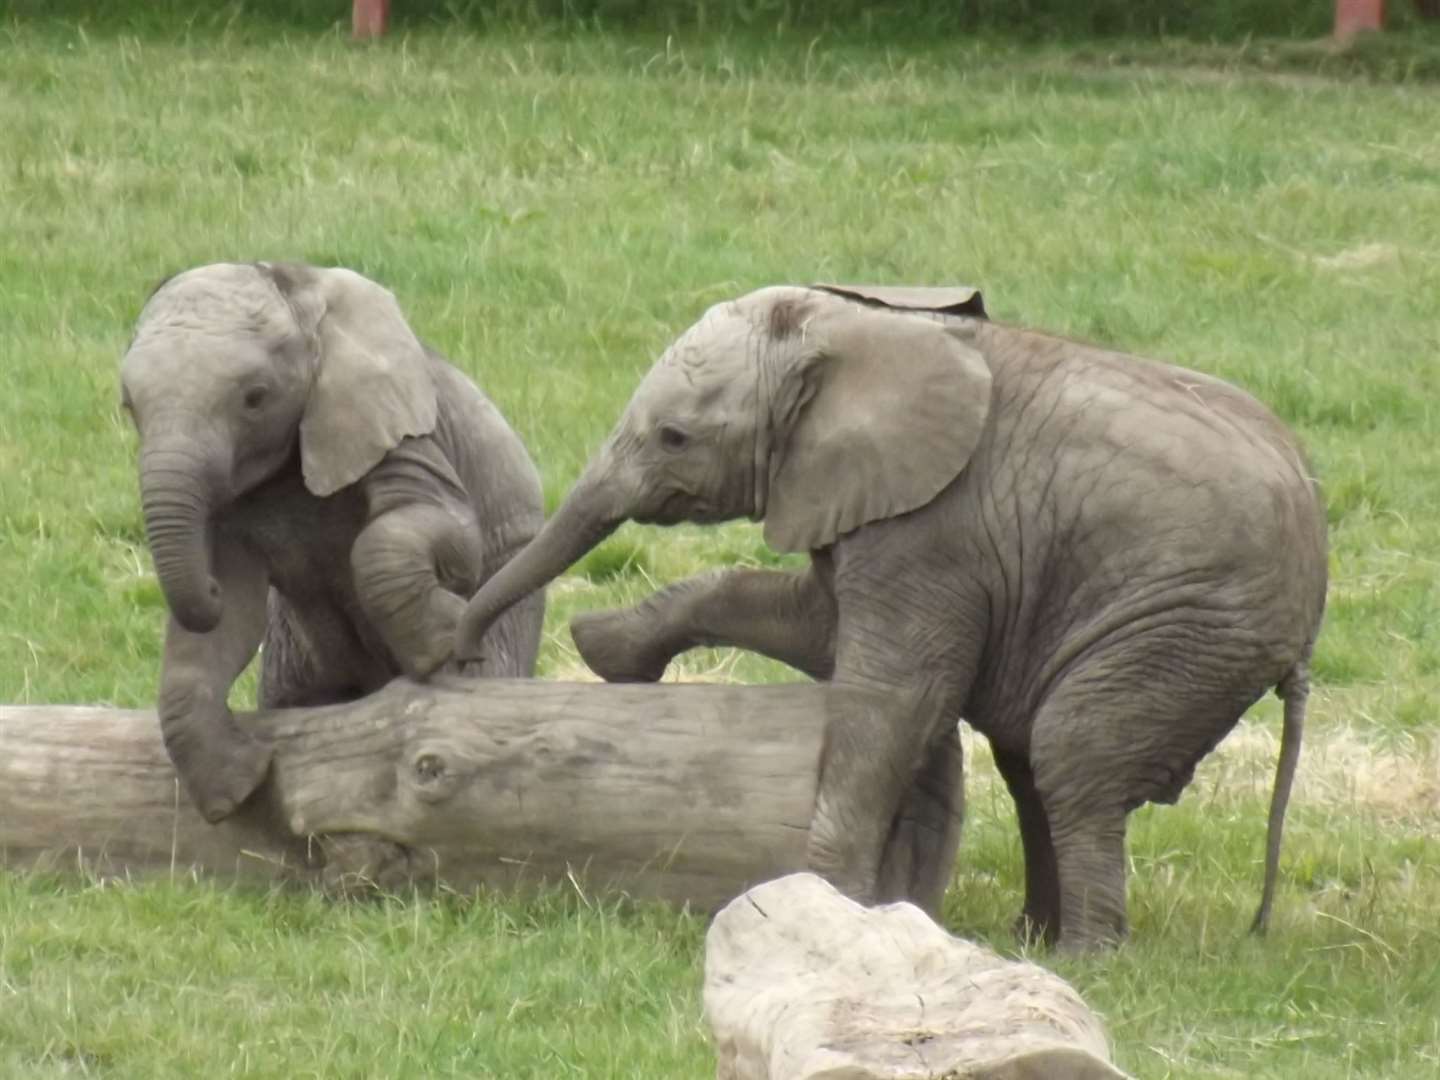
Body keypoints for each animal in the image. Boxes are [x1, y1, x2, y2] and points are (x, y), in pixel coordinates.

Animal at [118, 262, 541, 817]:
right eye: (129, 406)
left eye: (255, 397)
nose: (203, 588)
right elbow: (232, 614)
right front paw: (235, 788)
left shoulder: (389, 423)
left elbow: (446, 531)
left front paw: (437, 640)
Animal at [455, 283, 1330, 950]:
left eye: (675, 438)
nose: (453, 650)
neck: (858, 328)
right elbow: (812, 623)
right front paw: (606, 651)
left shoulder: (937, 526)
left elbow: (893, 697)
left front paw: (830, 904)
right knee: (1033, 761)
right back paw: (1033, 938)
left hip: (1187, 626)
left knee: (1071, 751)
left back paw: (1083, 958)